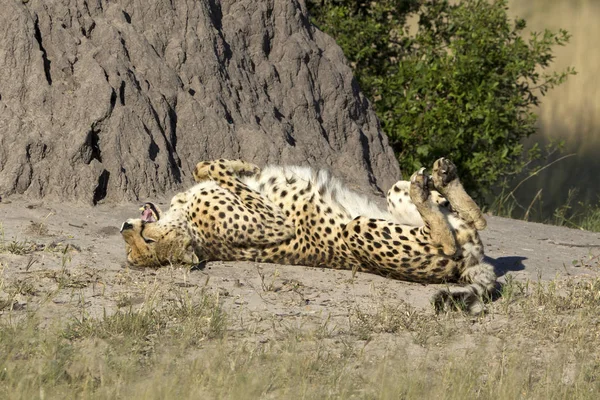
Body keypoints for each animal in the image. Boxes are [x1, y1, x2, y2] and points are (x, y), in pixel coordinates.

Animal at [119, 158, 494, 314]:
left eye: (144, 245)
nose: (126, 229)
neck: (184, 221)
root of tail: (468, 266)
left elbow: (204, 166)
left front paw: (245, 166)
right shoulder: (274, 222)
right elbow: (216, 172)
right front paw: (242, 169)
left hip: (395, 194)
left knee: (473, 219)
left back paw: (443, 178)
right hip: (360, 229)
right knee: (451, 238)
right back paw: (432, 191)